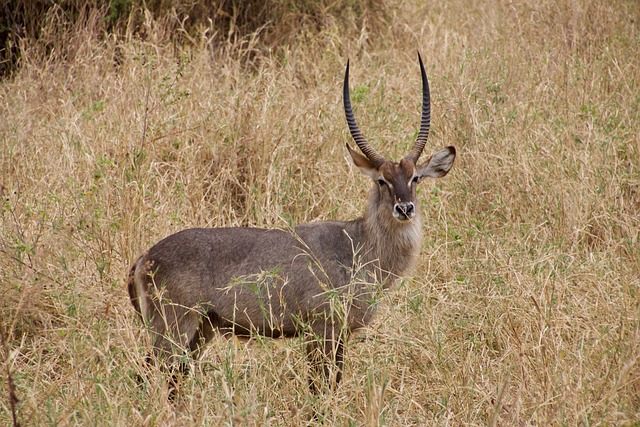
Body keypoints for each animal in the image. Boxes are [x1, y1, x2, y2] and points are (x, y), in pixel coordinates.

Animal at [126, 53, 456, 394]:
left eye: (415, 178)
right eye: (382, 180)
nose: (405, 208)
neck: (359, 245)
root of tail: (145, 256)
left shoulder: (338, 334)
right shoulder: (322, 329)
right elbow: (321, 386)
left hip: (200, 331)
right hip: (174, 328)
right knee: (143, 376)